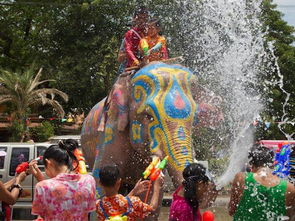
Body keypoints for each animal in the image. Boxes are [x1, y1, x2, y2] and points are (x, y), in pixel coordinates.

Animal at [80, 61, 222, 218]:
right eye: (149, 116)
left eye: (193, 119)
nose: (209, 187)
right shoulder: (111, 132)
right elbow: (100, 183)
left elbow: (151, 199)